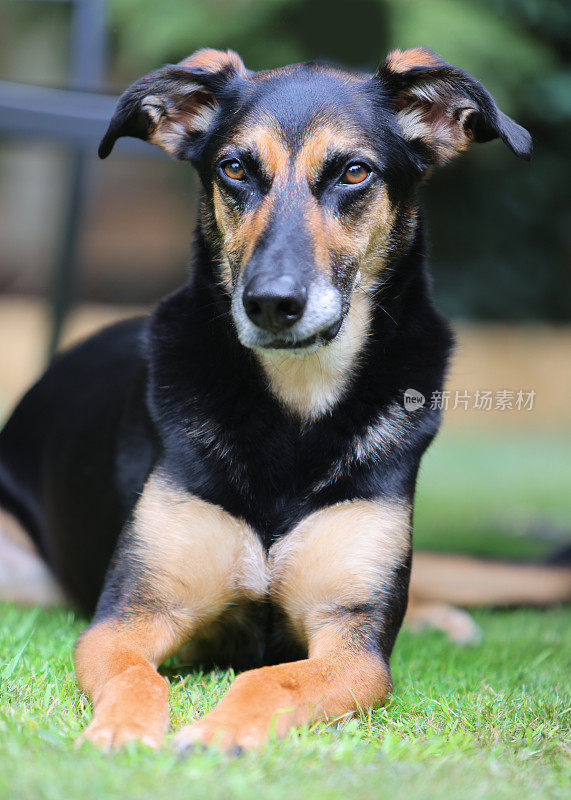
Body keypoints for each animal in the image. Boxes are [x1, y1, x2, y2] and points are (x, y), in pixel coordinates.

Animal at [0, 47, 560, 752]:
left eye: (354, 171)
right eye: (234, 168)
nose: (270, 302)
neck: (296, 408)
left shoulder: (355, 644)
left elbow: (276, 678)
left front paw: (220, 732)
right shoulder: (129, 615)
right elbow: (136, 673)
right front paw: (122, 731)